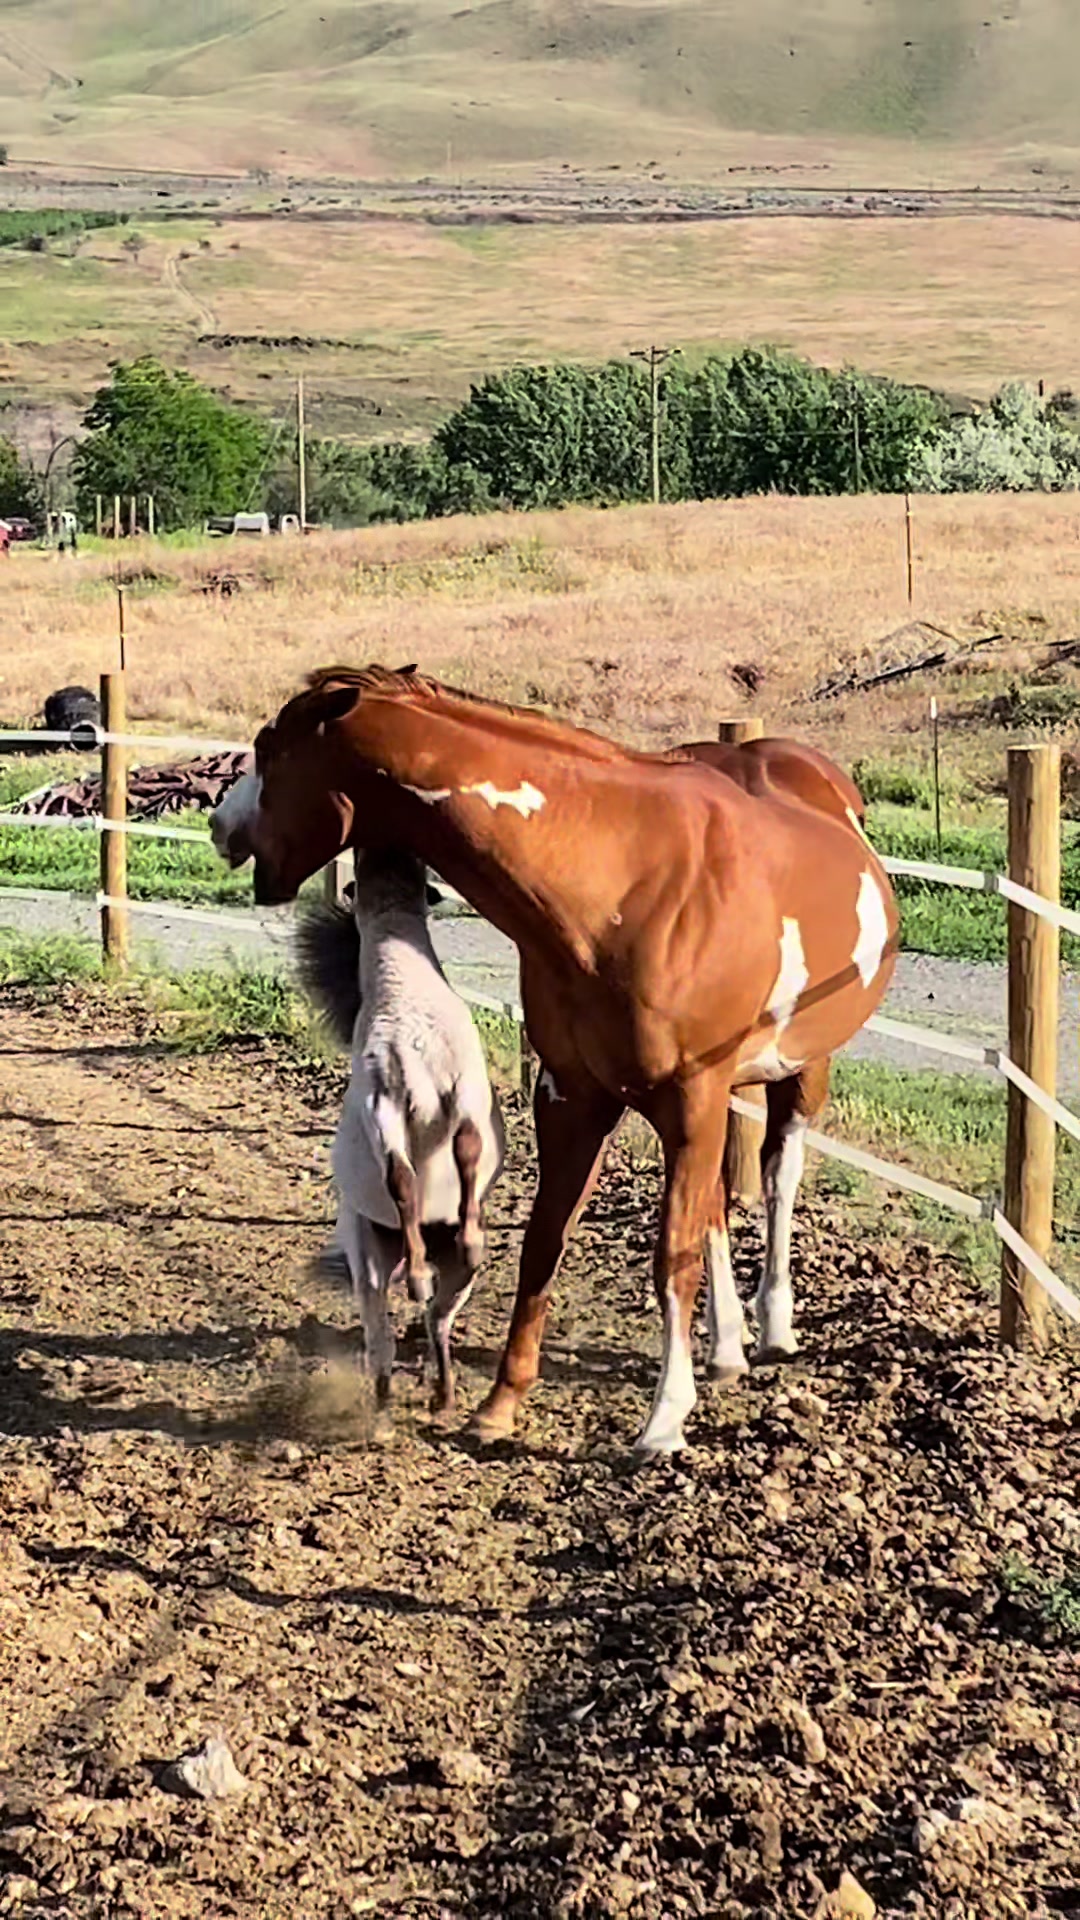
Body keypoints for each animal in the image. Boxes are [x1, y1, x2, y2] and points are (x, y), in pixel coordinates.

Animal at [294, 849, 505, 1422]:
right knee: (436, 1318)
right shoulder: (465, 1087)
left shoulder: (385, 1096)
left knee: (384, 1331)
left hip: (368, 1244)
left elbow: (404, 1175)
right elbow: (467, 1148)